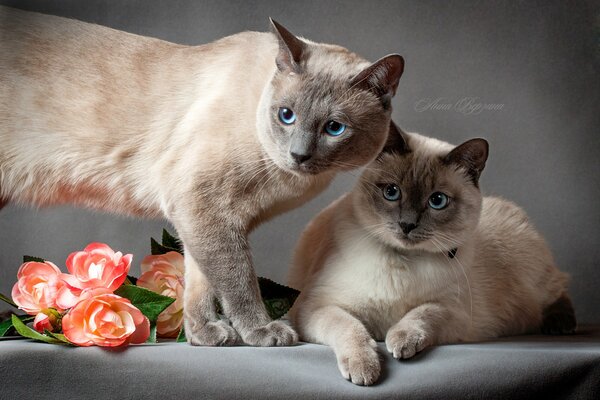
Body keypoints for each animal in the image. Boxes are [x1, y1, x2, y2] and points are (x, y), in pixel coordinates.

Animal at [1, 6, 404, 346]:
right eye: (286, 116)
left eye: (334, 128)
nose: (299, 155)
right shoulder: (204, 209)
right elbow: (238, 281)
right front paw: (262, 332)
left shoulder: (211, 221)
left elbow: (200, 284)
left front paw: (204, 336)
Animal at [290, 124, 576, 384]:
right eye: (391, 192)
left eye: (437, 201)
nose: (407, 225)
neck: (404, 259)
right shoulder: (318, 306)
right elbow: (350, 327)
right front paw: (365, 368)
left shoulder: (453, 311)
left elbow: (421, 314)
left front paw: (399, 342)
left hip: (535, 282)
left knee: (560, 290)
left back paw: (560, 325)